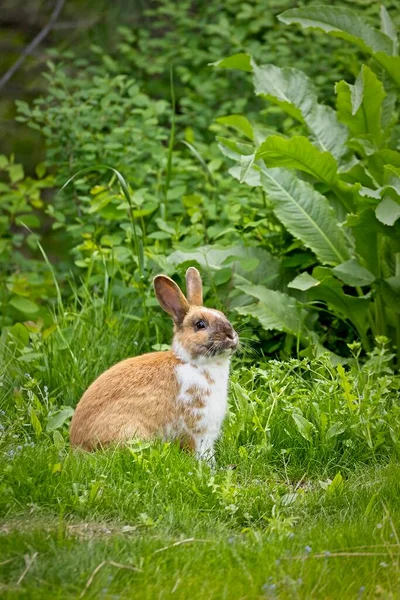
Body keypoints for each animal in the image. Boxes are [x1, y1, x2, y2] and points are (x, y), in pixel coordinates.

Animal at [69, 264, 239, 462]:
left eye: (222, 315)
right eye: (200, 325)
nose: (230, 334)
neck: (193, 363)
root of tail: (77, 446)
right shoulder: (197, 428)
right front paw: (208, 466)